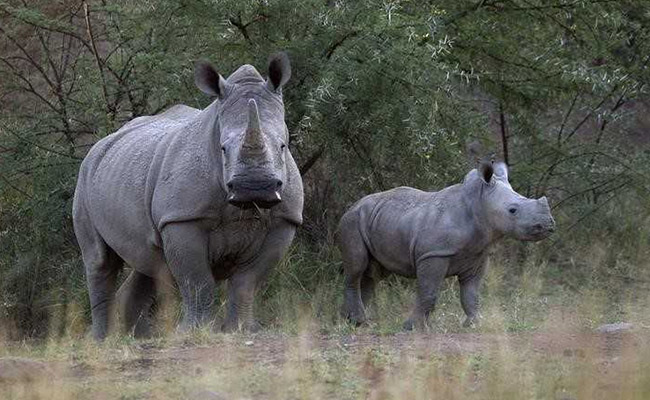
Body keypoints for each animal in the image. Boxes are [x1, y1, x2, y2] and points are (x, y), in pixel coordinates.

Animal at [72, 52, 303, 339]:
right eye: (223, 149)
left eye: (283, 146)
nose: (254, 187)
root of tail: (101, 143)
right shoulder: (182, 218)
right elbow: (197, 280)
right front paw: (194, 331)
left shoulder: (284, 221)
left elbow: (247, 282)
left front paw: (242, 329)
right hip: (85, 176)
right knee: (100, 260)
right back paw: (102, 340)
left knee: (149, 260)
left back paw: (141, 338)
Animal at [338, 159, 555, 330]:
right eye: (512, 210)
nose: (548, 224)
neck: (478, 203)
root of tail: (352, 206)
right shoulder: (434, 254)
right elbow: (429, 293)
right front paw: (412, 327)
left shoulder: (478, 255)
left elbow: (471, 295)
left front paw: (474, 324)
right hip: (351, 222)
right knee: (357, 267)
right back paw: (360, 322)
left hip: (375, 219)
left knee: (373, 273)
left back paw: (353, 321)